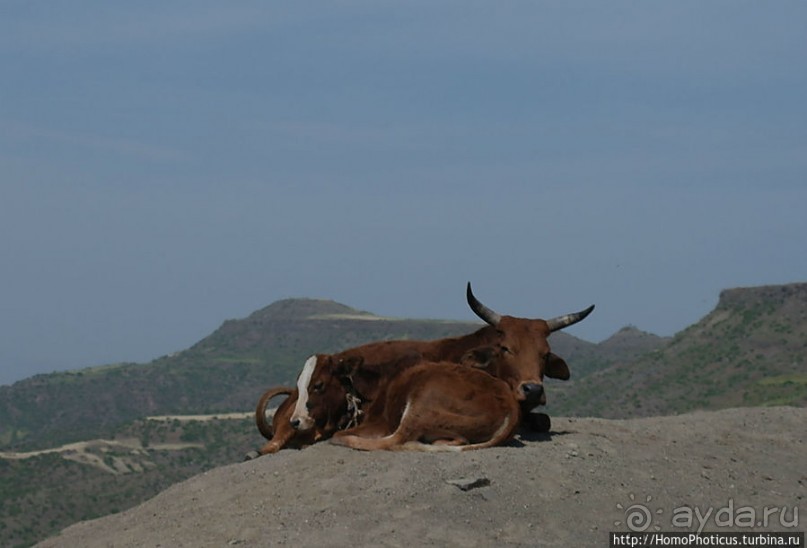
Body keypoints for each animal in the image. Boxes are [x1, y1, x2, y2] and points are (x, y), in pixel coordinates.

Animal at [332, 358, 520, 452]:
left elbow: (338, 434)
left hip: (421, 403)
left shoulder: (380, 422)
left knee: (393, 441)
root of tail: (510, 404)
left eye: (324, 385)